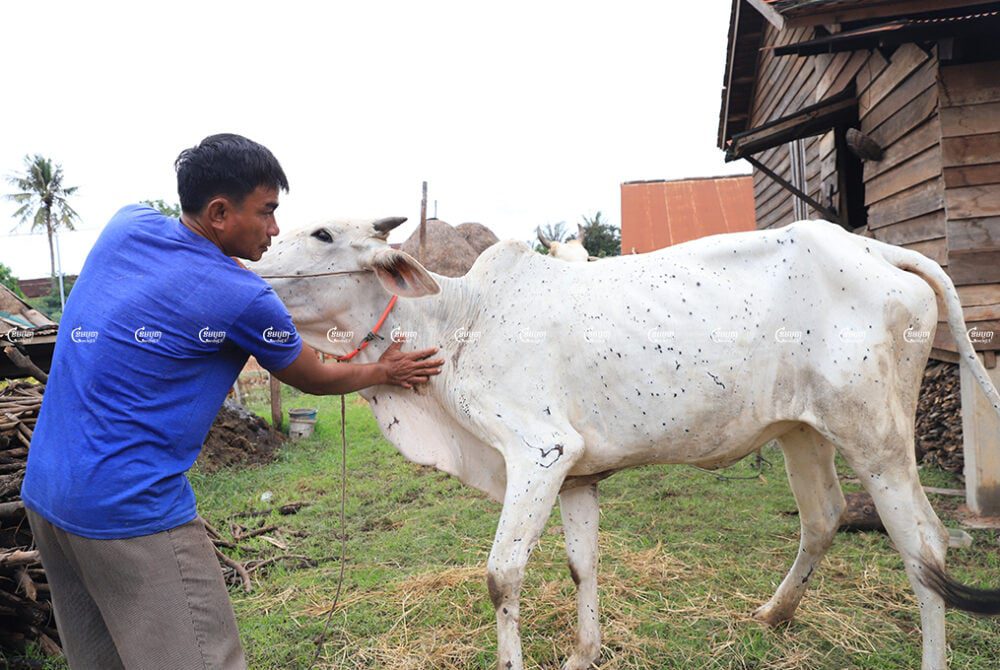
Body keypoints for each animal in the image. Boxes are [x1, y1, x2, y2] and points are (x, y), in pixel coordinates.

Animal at [252, 216, 1000, 670]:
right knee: (824, 519)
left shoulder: (539, 453)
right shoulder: (576, 473)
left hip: (876, 437)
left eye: (322, 233)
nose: (251, 268)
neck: (459, 320)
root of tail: (873, 248)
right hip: (802, 431)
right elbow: (581, 565)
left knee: (925, 547)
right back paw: (772, 614)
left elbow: (502, 575)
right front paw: (584, 651)